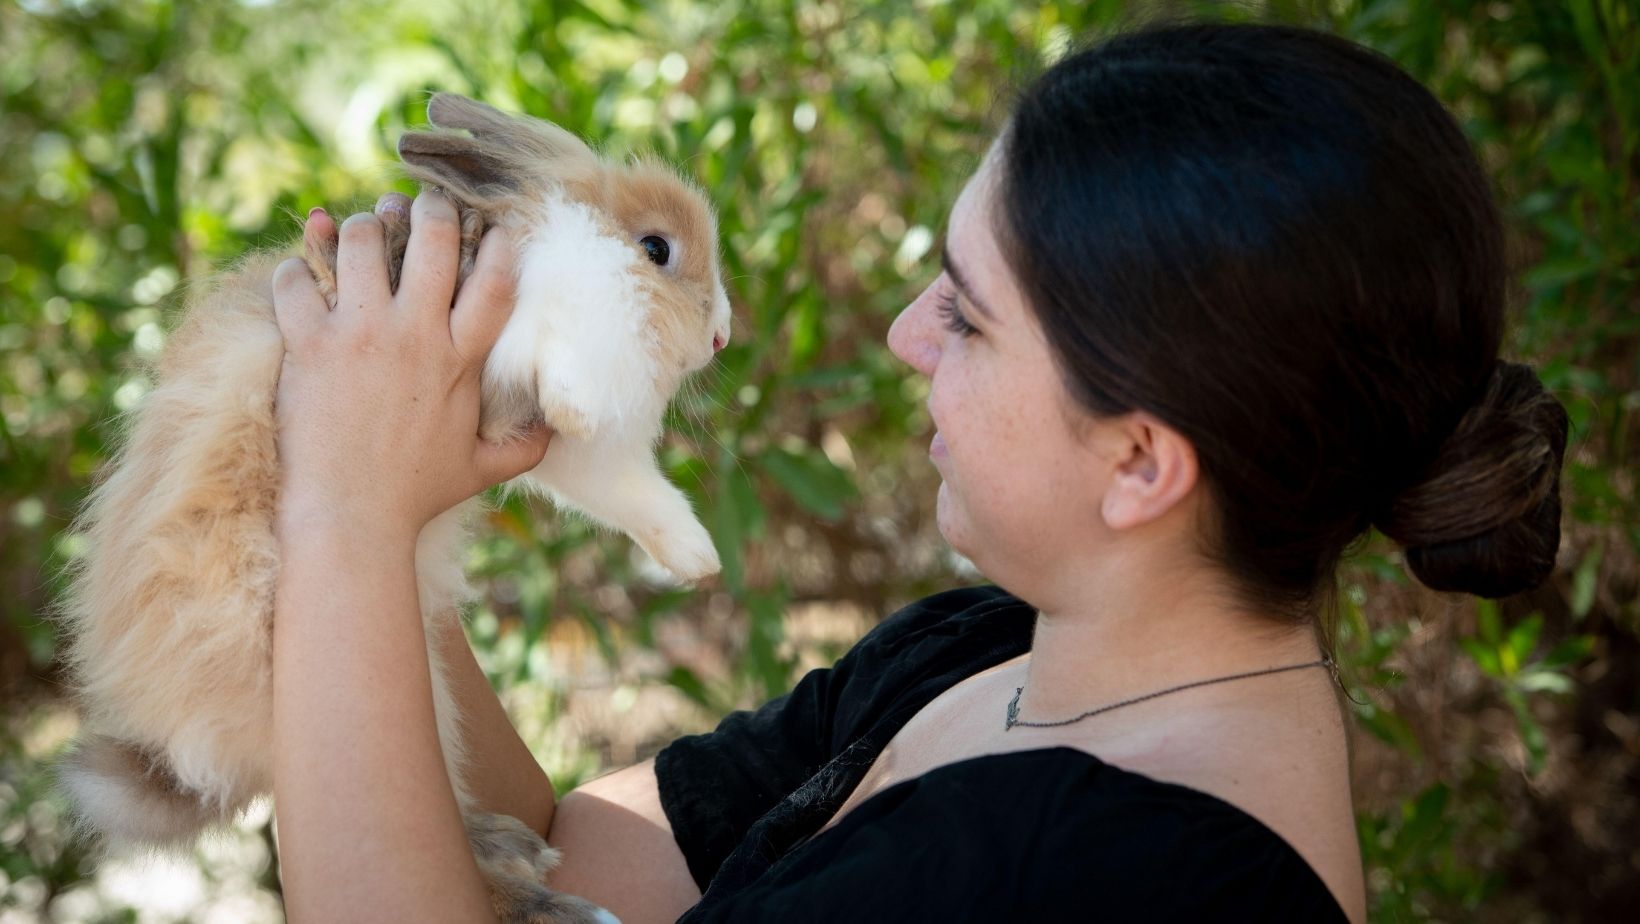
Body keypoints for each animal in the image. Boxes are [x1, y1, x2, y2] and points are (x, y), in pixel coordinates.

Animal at [54, 92, 733, 923]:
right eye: (656, 249)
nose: (719, 336)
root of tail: (177, 745)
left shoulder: (568, 453)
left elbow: (634, 492)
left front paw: (699, 559)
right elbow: (570, 384)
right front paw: (575, 397)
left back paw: (516, 846)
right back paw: (552, 903)